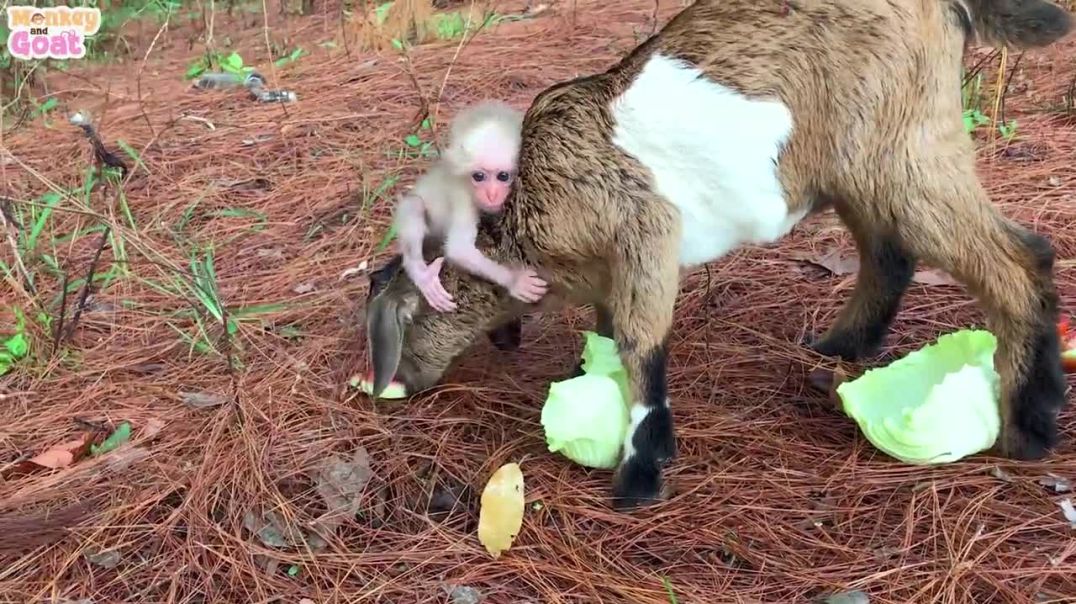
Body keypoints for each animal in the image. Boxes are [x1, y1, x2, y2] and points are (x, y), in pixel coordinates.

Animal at [392, 100, 548, 312]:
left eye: (503, 176)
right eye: (479, 176)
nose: (491, 195)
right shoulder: (462, 194)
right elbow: (460, 249)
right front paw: (515, 279)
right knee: (414, 206)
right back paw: (423, 275)